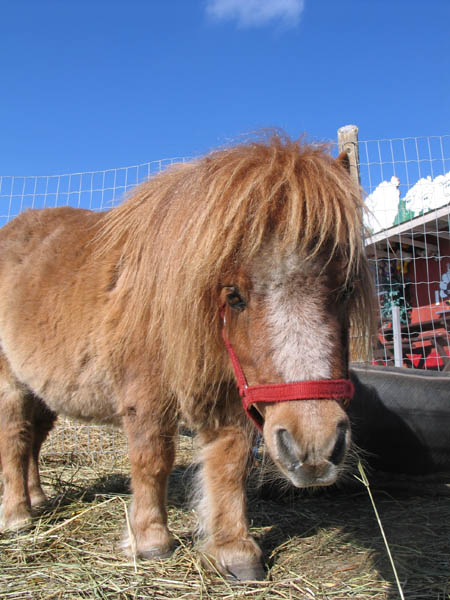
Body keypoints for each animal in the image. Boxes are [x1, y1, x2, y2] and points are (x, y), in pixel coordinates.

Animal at [0, 135, 374, 580]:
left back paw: (37, 498)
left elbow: (229, 464)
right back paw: (17, 515)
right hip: (10, 384)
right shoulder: (146, 398)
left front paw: (233, 550)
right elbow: (153, 460)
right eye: (234, 295)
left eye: (345, 288)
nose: (314, 446)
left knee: (33, 440)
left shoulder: (230, 395)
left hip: (41, 392)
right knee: (14, 438)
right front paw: (150, 540)